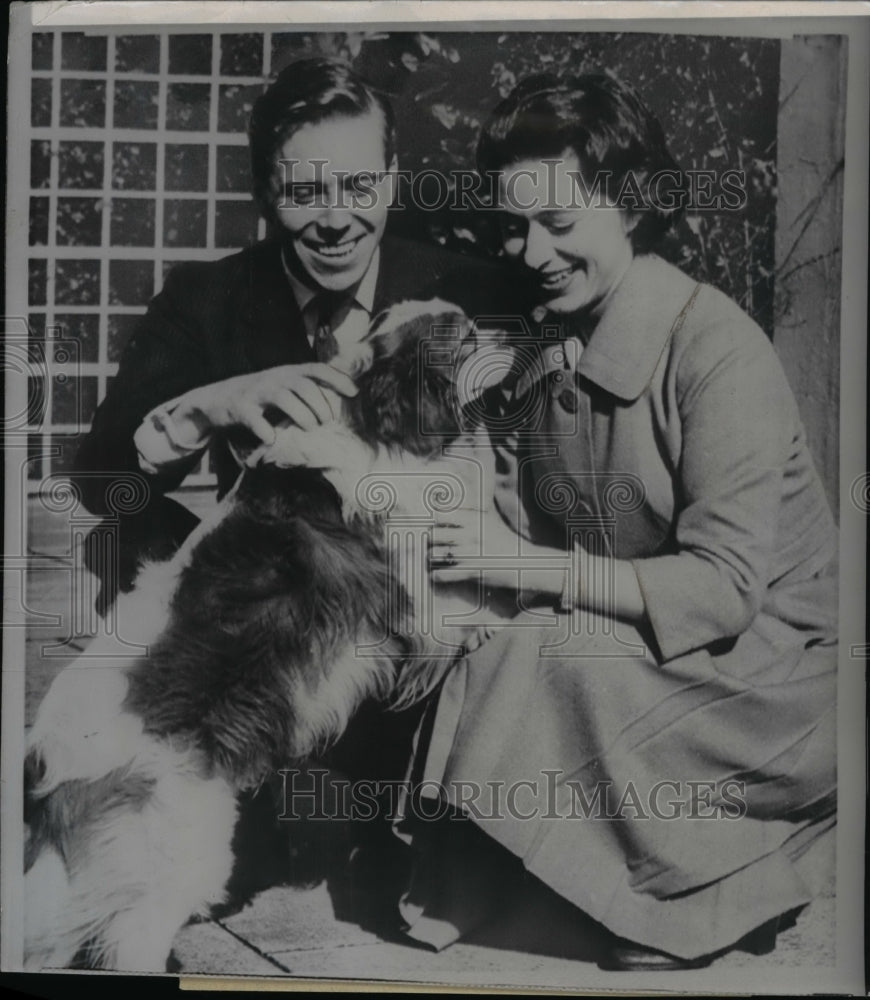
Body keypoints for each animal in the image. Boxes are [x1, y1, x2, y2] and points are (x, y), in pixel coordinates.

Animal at [23, 296, 516, 968]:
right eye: (465, 337)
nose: (514, 332)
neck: (372, 421)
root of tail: (50, 772)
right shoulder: (410, 585)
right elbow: (468, 603)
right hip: (179, 850)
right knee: (130, 941)